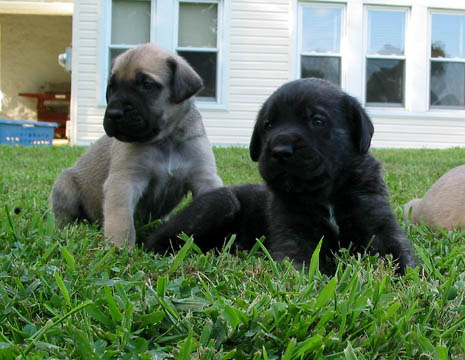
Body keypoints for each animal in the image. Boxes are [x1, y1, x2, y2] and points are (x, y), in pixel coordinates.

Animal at [144, 78, 414, 272]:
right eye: (268, 125)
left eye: (317, 120)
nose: (280, 151)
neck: (326, 193)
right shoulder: (293, 233)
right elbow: (304, 265)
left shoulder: (378, 225)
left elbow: (399, 254)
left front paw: (409, 280)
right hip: (222, 202)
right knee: (156, 240)